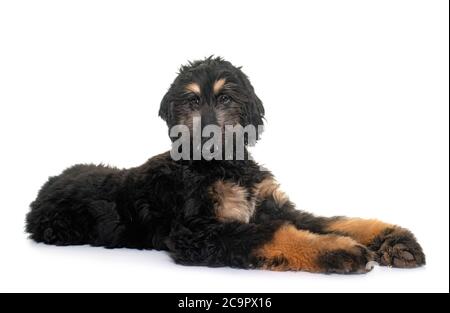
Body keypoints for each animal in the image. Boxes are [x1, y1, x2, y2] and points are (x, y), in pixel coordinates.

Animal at [25, 57, 426, 272]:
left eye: (226, 98)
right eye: (190, 101)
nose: (207, 136)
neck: (222, 165)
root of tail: (48, 183)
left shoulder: (269, 205)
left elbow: (331, 221)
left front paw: (392, 238)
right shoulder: (197, 232)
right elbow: (274, 235)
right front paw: (338, 250)